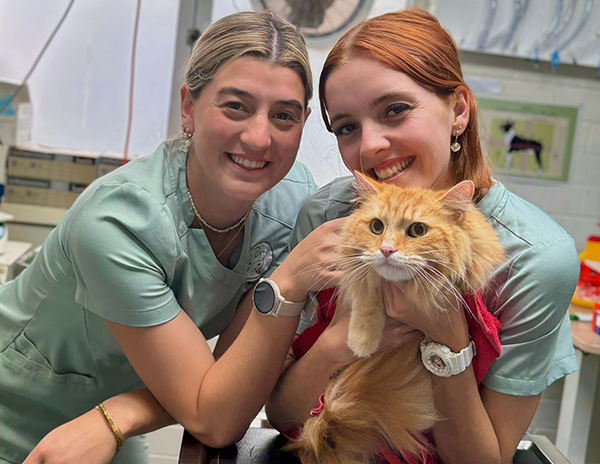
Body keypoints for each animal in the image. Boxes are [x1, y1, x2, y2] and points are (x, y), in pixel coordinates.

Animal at [288, 173, 504, 464]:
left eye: (418, 230)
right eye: (377, 226)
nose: (387, 250)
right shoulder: (358, 273)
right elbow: (368, 288)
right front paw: (362, 339)